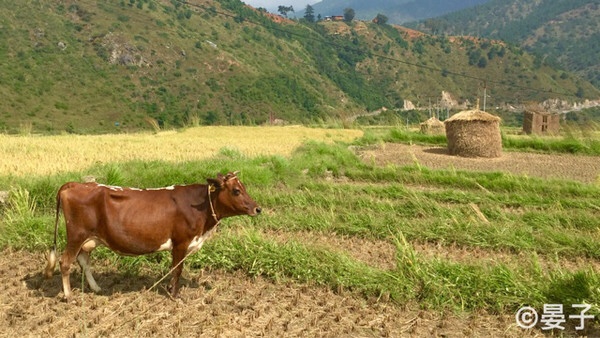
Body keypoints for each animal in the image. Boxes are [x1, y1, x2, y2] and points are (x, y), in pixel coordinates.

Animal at [45, 172, 262, 298]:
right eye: (236, 190)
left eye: (244, 188)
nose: (257, 208)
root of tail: (73, 184)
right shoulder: (181, 242)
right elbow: (177, 269)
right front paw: (174, 294)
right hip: (76, 235)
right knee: (65, 261)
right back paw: (68, 295)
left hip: (89, 238)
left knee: (83, 260)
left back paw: (96, 288)